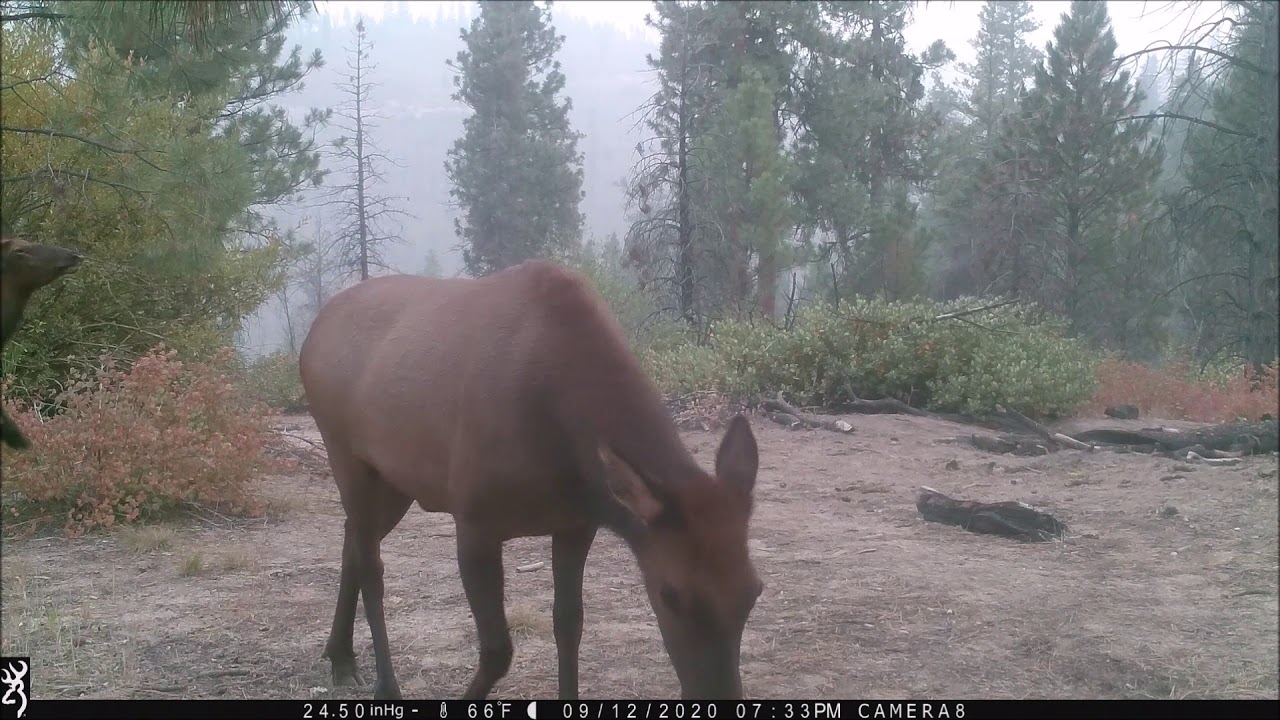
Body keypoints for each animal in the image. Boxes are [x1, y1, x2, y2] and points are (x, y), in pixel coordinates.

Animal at [298, 259, 763, 700]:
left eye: (755, 590)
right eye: (669, 593)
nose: (719, 695)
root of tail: (311, 333)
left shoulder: (576, 524)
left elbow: (569, 626)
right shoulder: (474, 520)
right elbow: (497, 650)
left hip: (396, 478)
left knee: (352, 540)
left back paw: (340, 656)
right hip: (344, 452)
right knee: (372, 566)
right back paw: (384, 683)